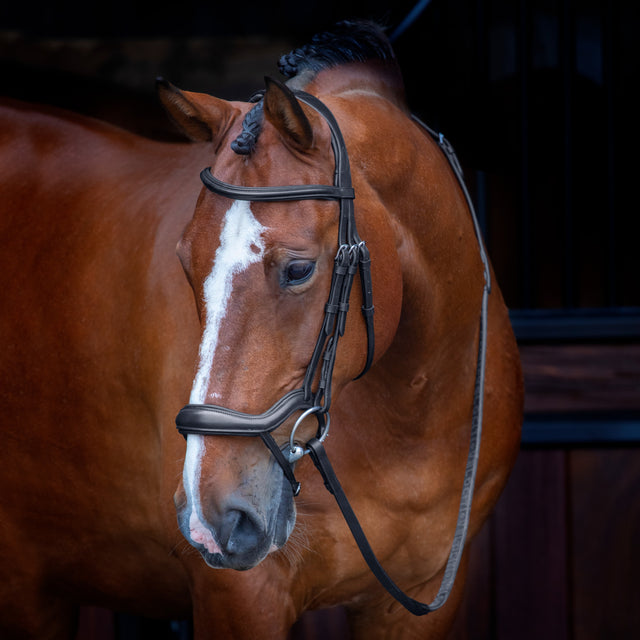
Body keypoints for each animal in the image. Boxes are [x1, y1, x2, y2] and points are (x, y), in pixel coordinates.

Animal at [0, 21, 520, 640]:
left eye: (298, 270)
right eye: (185, 264)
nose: (214, 517)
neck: (410, 417)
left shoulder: (420, 596)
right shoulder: (242, 595)